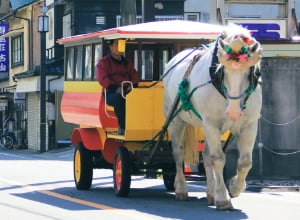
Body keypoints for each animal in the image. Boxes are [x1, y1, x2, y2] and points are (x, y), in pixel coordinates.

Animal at [162, 24, 262, 211]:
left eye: (249, 73)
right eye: (222, 71)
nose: (234, 112)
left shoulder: (250, 125)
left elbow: (245, 162)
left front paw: (234, 187)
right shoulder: (211, 124)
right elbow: (218, 158)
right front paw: (222, 198)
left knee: (206, 154)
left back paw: (210, 193)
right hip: (177, 120)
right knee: (178, 153)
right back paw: (181, 189)